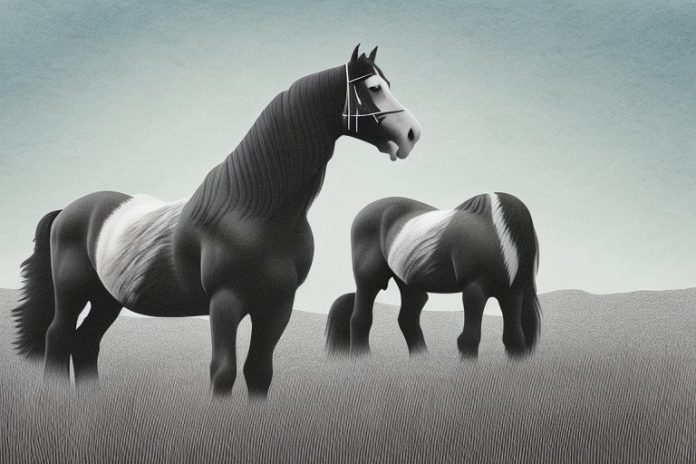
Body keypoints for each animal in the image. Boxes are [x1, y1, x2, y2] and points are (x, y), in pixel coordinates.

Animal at [12, 45, 421, 398]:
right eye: (373, 88)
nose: (412, 134)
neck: (253, 214)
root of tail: (68, 211)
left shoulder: (277, 305)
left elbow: (259, 371)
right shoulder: (225, 302)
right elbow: (223, 371)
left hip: (107, 298)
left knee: (85, 344)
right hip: (73, 292)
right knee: (58, 336)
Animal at [325, 193, 540, 358]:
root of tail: (361, 214)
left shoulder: (512, 294)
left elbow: (514, 339)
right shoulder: (474, 290)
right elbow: (468, 339)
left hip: (408, 282)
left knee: (408, 318)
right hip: (369, 280)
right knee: (360, 318)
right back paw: (363, 360)